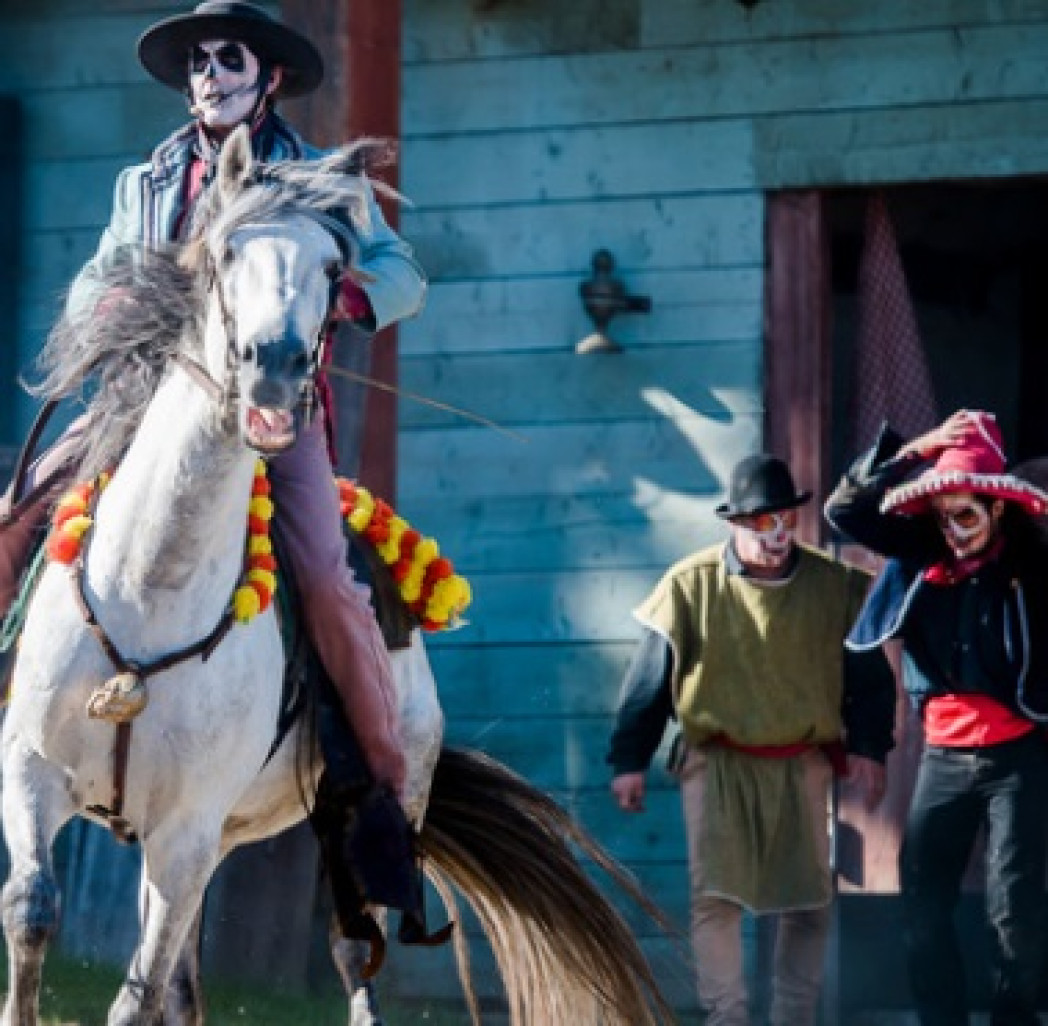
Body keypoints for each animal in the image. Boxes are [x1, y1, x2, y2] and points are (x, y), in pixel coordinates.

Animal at [0, 130, 670, 1026]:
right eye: (227, 250)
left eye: (330, 266)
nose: (275, 365)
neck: (150, 588)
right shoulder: (33, 771)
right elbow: (33, 909)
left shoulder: (186, 829)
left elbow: (135, 997)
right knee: (187, 977)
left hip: (357, 812)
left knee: (353, 952)